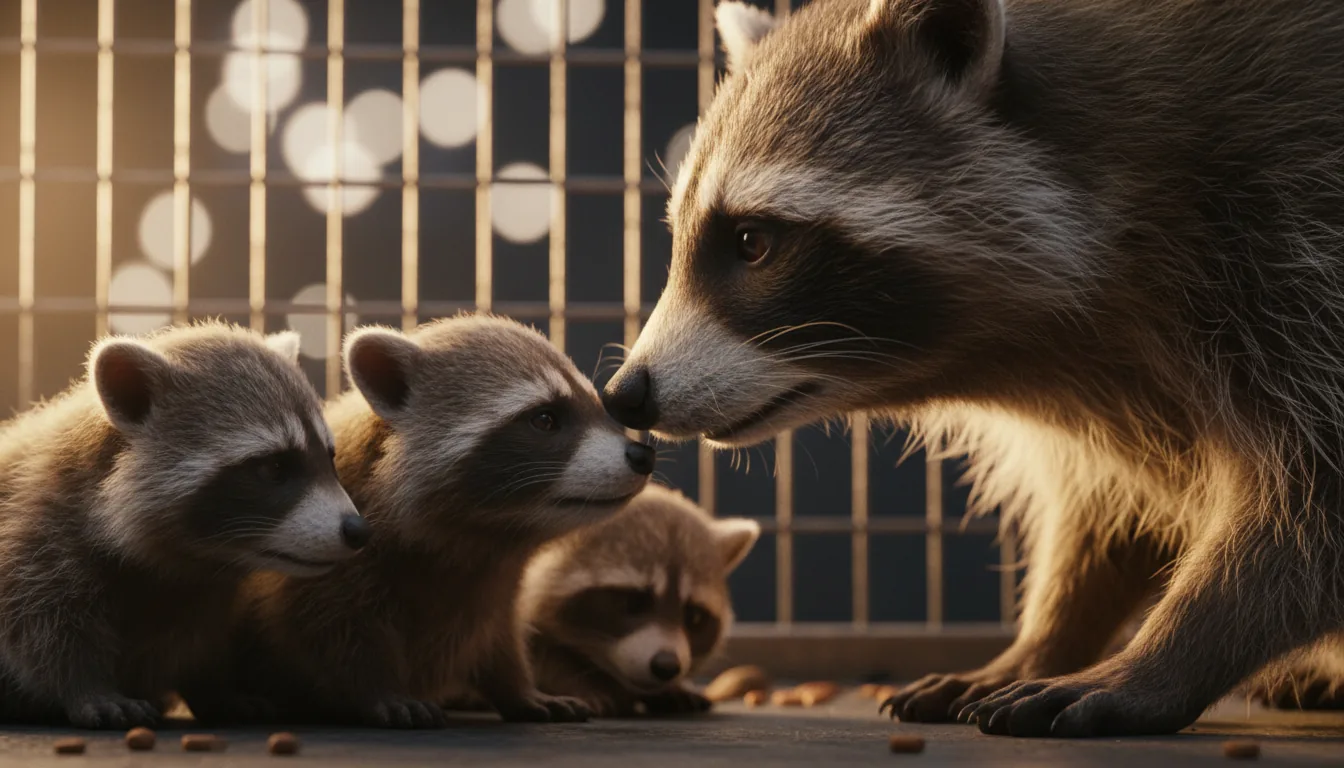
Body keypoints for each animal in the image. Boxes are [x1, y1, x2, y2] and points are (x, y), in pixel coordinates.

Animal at [0, 322, 364, 729]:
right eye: (274, 468)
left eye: (329, 459)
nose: (356, 530)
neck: (199, 557)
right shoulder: (41, 528)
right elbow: (38, 623)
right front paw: (86, 686)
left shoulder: (203, 590)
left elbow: (200, 639)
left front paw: (213, 687)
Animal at [225, 315, 656, 728]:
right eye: (546, 419)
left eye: (598, 406)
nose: (642, 455)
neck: (489, 535)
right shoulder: (325, 555)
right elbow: (332, 633)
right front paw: (380, 690)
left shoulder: (493, 584)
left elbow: (498, 638)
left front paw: (519, 688)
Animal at [602, 0, 1344, 738]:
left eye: (752, 242)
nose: (625, 394)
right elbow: (1105, 514)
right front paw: (1049, 637)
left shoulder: (1292, 225)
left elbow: (1309, 508)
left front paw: (1170, 649)